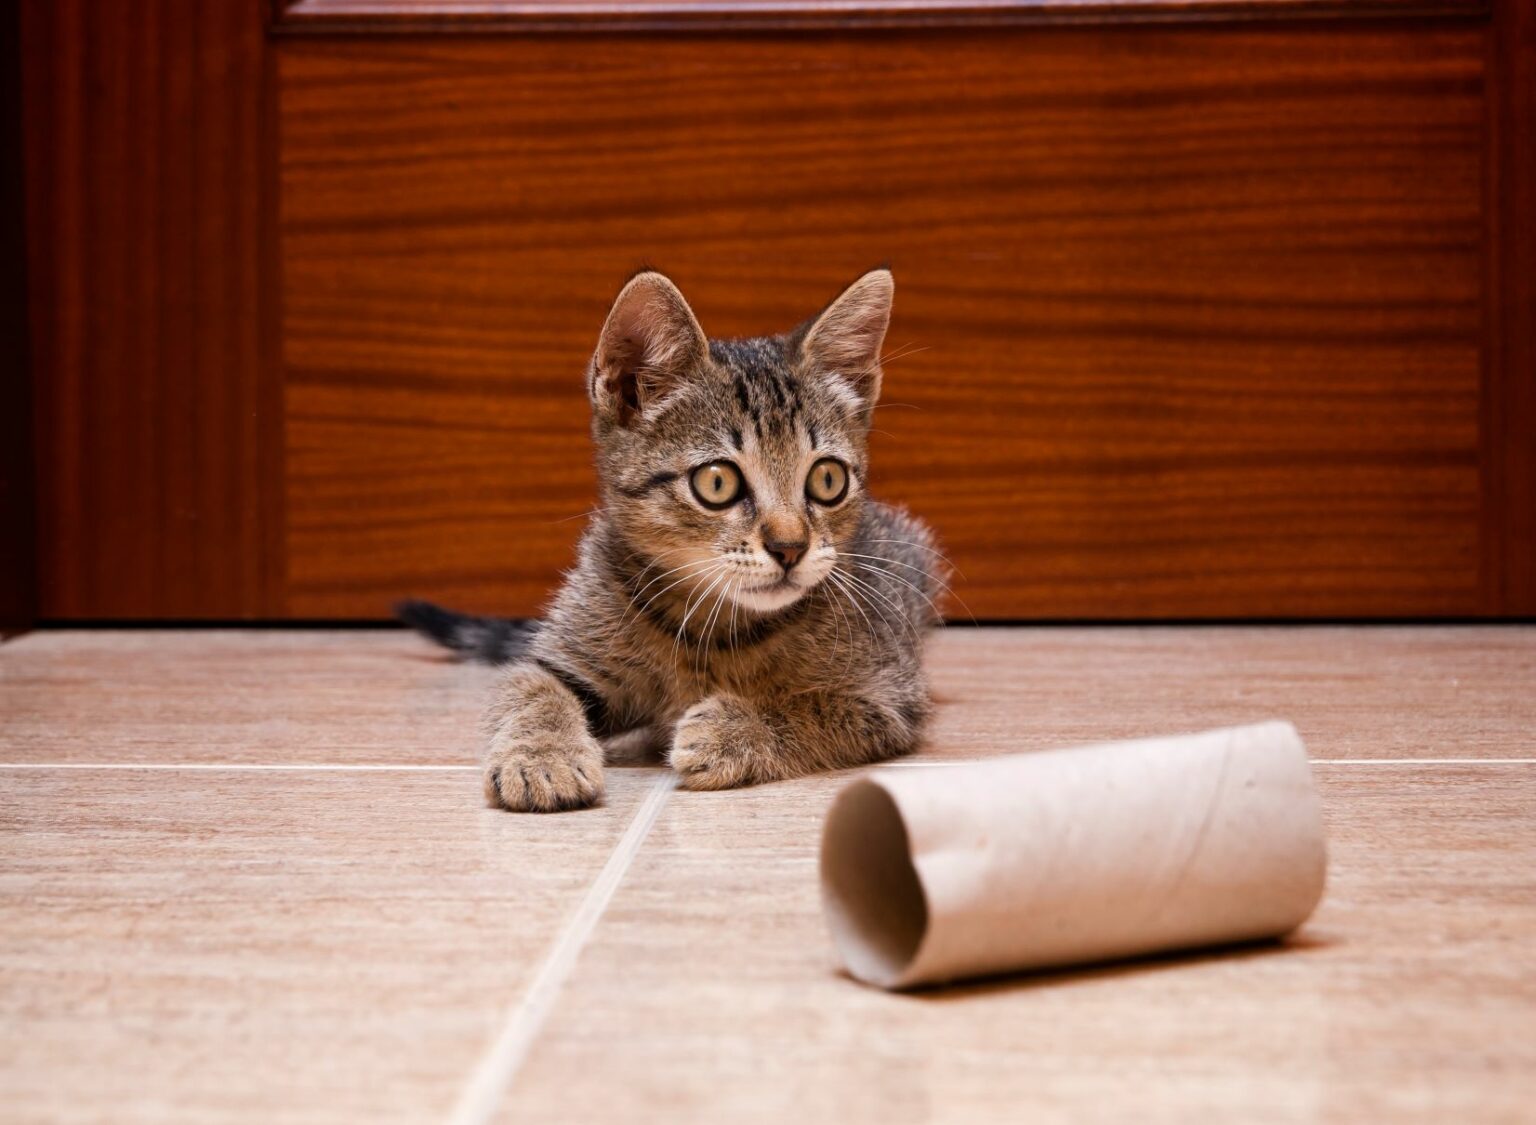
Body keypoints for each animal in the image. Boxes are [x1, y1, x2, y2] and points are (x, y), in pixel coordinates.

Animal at [402, 265, 940, 811]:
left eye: (827, 480)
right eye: (717, 482)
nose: (790, 548)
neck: (715, 628)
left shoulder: (887, 697)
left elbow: (812, 706)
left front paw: (734, 727)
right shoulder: (558, 659)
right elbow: (532, 690)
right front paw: (540, 757)